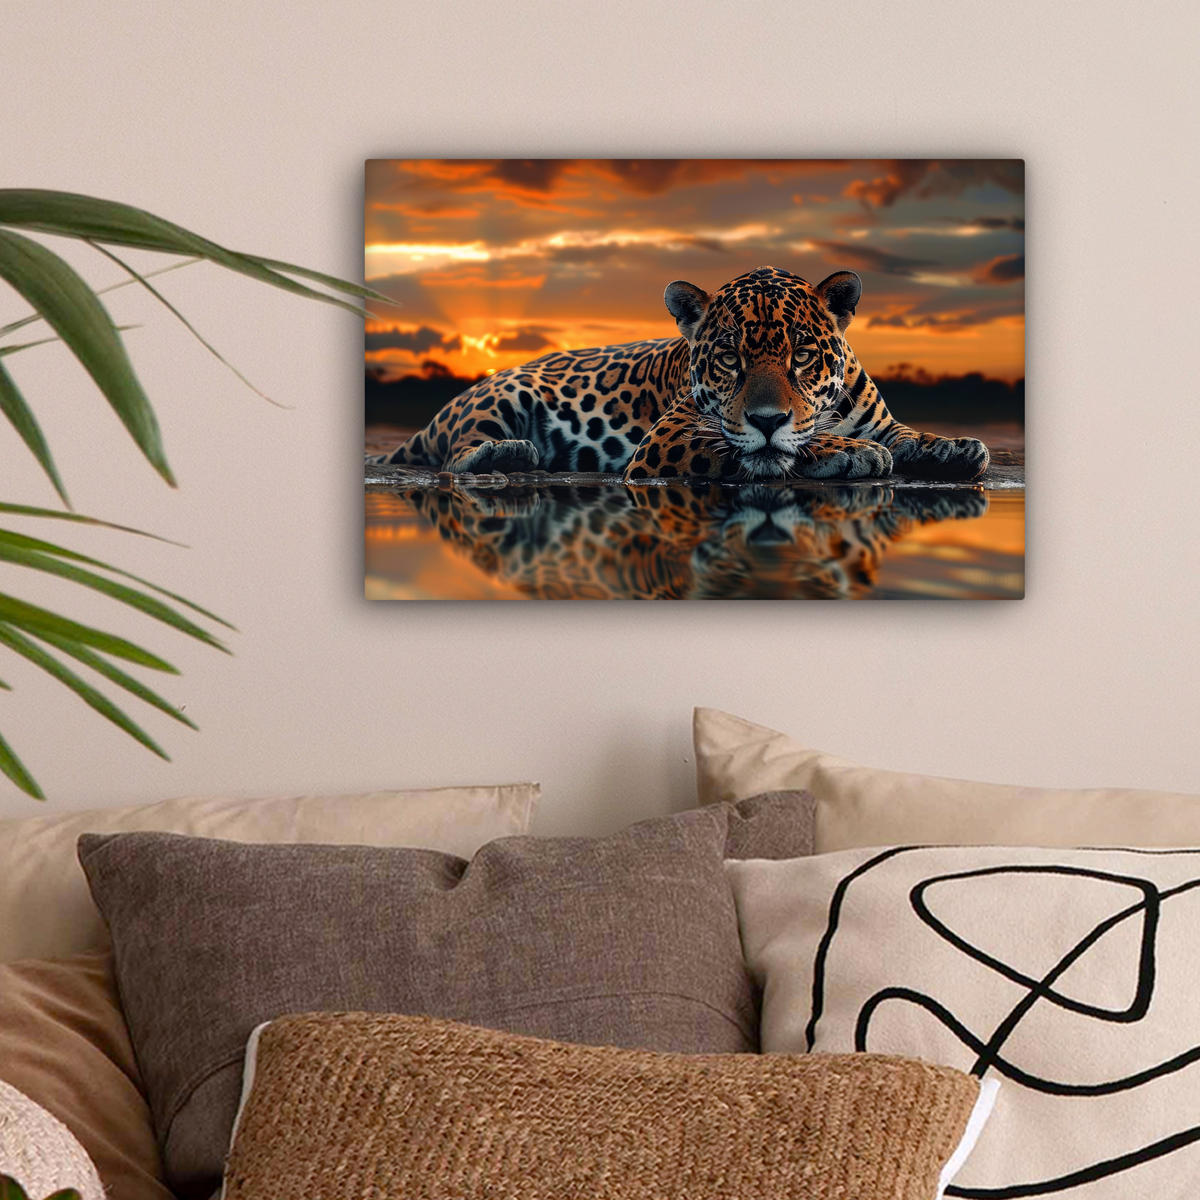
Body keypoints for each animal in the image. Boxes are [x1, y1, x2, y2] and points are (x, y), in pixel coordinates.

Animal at [367, 265, 989, 483]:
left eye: (802, 356)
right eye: (730, 359)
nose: (767, 418)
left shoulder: (880, 420)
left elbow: (907, 435)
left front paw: (956, 448)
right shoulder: (669, 437)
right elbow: (770, 447)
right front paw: (847, 452)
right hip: (500, 397)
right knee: (455, 454)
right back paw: (510, 454)